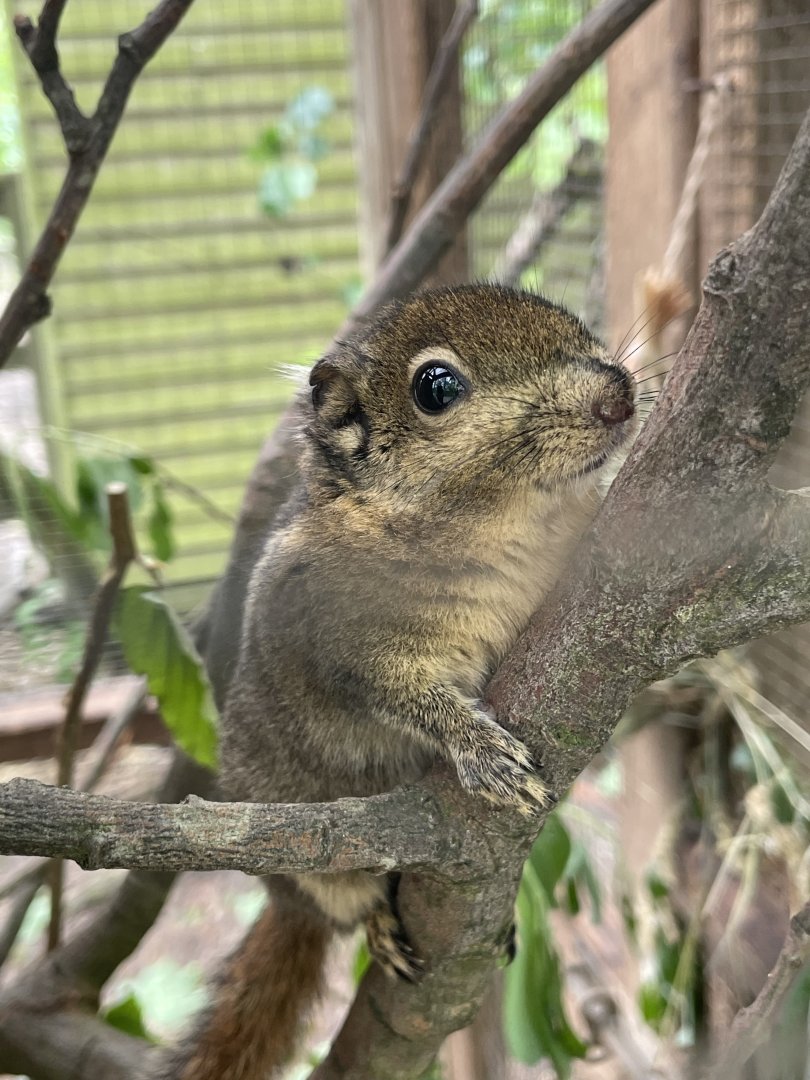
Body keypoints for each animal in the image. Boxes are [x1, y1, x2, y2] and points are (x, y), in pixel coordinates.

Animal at [157, 283, 636, 1080]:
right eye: (436, 387)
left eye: (561, 313)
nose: (617, 397)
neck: (496, 523)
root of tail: (288, 903)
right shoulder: (343, 638)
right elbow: (404, 697)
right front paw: (482, 751)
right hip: (314, 865)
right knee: (348, 904)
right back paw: (378, 921)